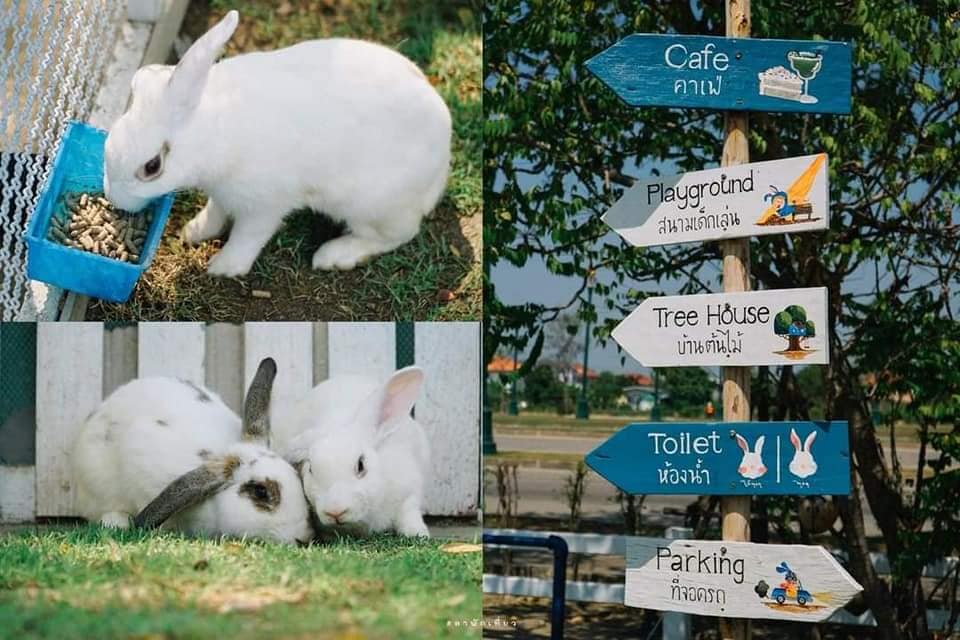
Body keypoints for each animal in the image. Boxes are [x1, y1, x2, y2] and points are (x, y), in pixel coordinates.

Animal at [103, 10, 452, 277]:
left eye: (152, 166)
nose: (114, 199)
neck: (212, 131)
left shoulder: (265, 206)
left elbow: (248, 236)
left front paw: (223, 268)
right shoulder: (223, 194)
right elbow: (215, 212)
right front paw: (194, 231)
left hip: (370, 207)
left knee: (399, 235)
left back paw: (334, 255)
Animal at [273, 366, 430, 537]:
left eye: (361, 465)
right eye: (311, 469)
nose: (335, 511)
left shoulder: (409, 491)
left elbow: (409, 512)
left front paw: (418, 533)